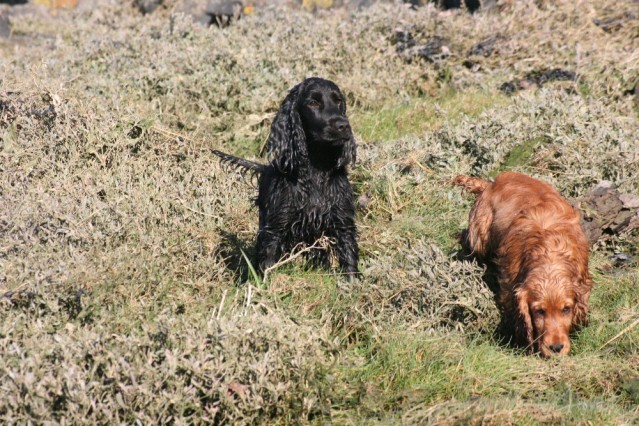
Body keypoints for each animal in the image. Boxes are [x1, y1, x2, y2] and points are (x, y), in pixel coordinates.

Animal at [212, 78, 358, 278]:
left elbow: (349, 257)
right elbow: (267, 262)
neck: (316, 168)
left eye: (338, 101)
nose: (344, 125)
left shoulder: (342, 221)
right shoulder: (275, 227)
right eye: (313, 103)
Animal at [456, 172, 596, 356]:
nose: (556, 348)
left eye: (566, 309)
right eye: (539, 311)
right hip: (480, 235)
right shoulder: (509, 287)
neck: (548, 252)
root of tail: (492, 183)